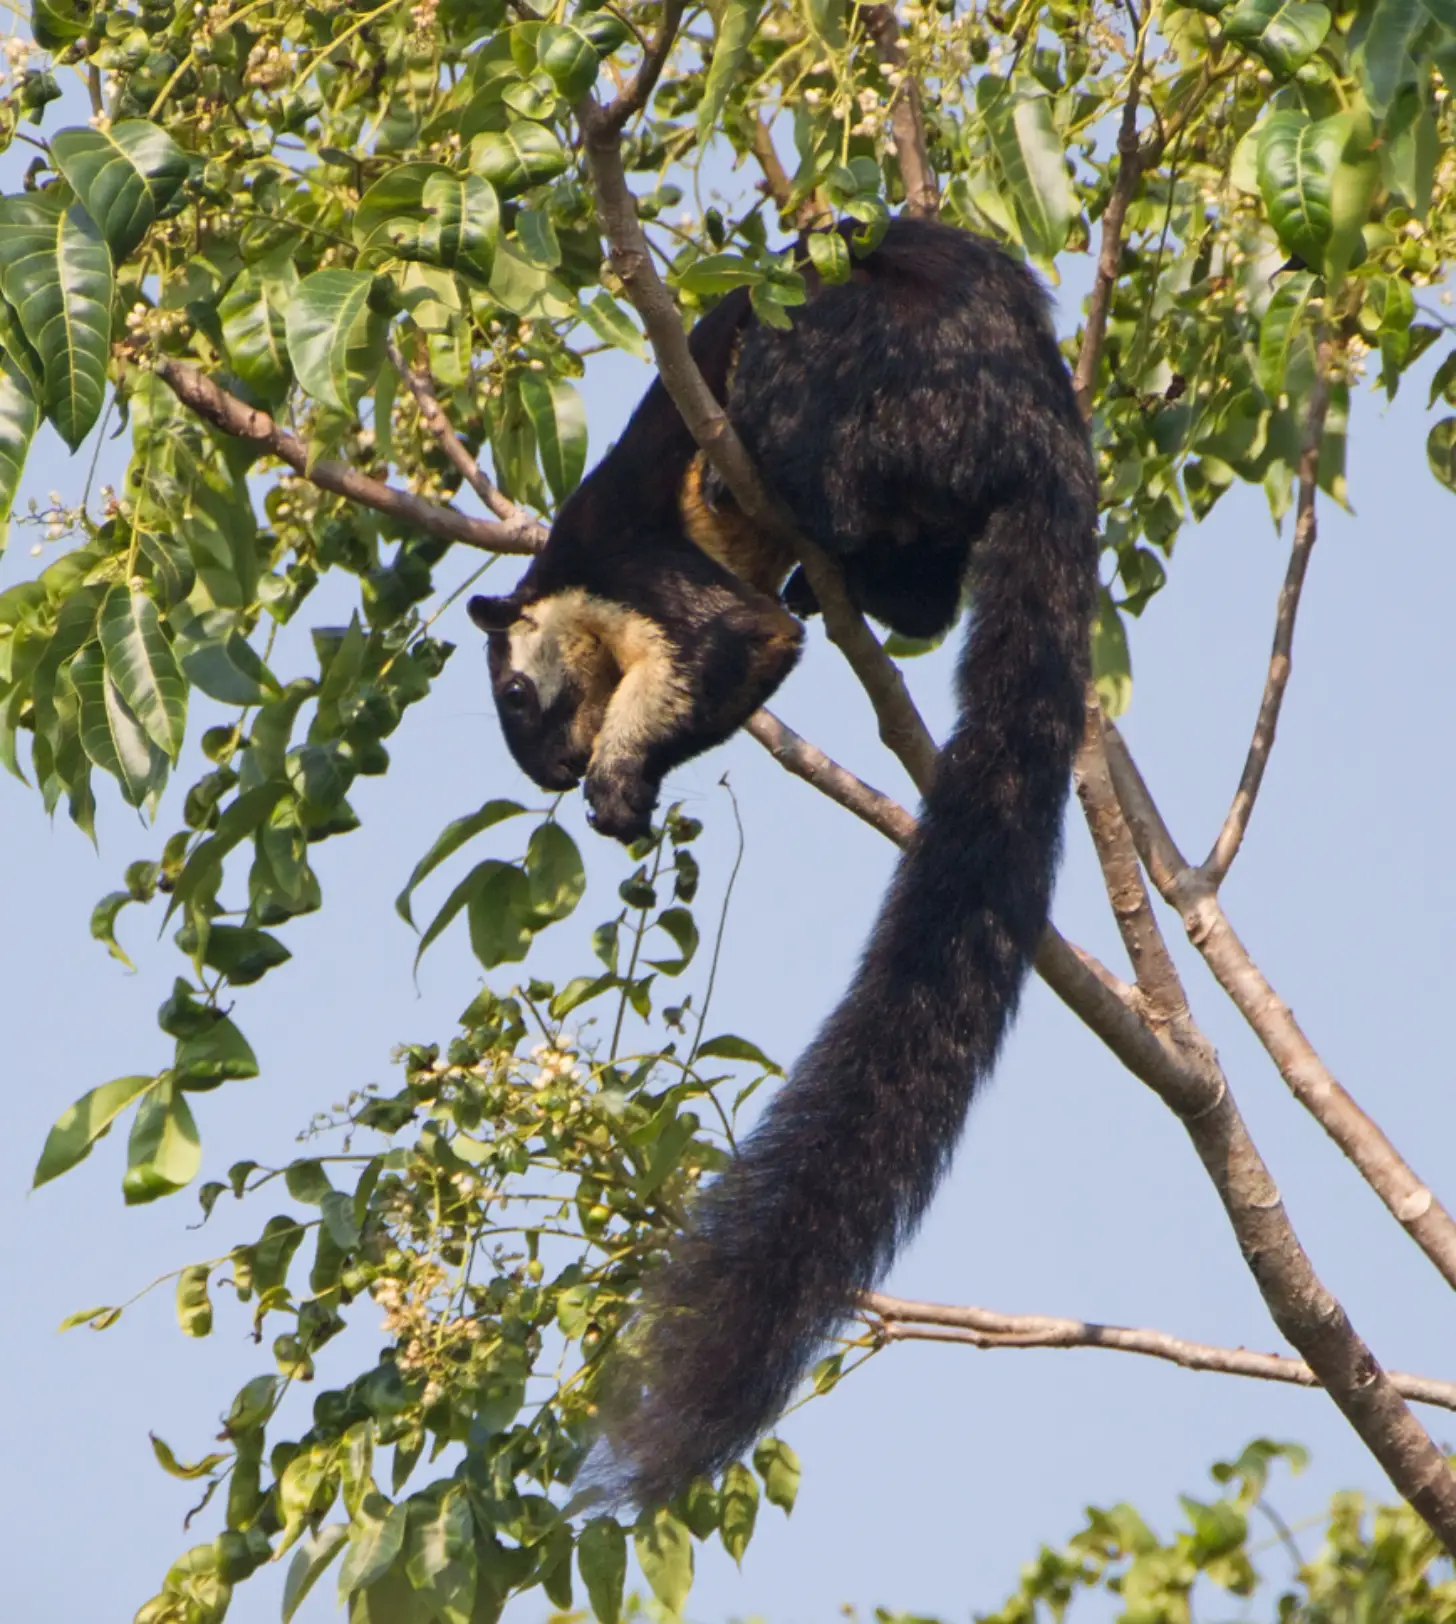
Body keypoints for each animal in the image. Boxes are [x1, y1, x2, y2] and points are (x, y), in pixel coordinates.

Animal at [468, 216, 1099, 1507]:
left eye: (514, 697)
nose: (553, 773)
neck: (572, 579)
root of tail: (1036, 426)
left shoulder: (636, 560)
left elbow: (741, 641)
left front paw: (620, 780)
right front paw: (627, 796)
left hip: (819, 375)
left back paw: (792, 517)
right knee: (921, 592)